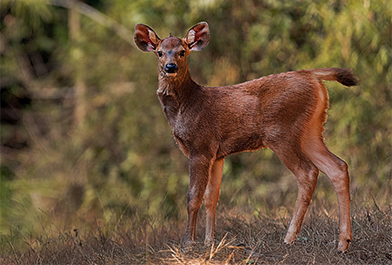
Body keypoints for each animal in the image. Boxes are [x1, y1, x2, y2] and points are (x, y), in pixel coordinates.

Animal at [135, 21, 358, 251]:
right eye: (160, 52)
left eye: (182, 52)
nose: (170, 67)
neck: (187, 106)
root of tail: (313, 76)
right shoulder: (217, 154)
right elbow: (211, 197)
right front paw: (209, 242)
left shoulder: (201, 146)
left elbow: (193, 197)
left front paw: (189, 244)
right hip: (311, 131)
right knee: (338, 166)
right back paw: (343, 243)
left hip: (281, 132)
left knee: (308, 173)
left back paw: (289, 237)